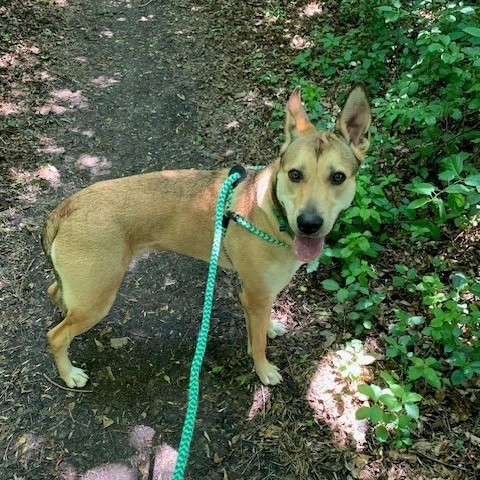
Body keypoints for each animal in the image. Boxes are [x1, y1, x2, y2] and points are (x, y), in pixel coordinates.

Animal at [41, 83, 372, 390]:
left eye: (338, 177)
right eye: (295, 174)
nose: (309, 224)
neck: (271, 210)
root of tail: (66, 208)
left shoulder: (262, 294)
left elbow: (263, 325)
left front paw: (271, 327)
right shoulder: (255, 296)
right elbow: (258, 344)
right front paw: (264, 370)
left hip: (84, 291)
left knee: (55, 292)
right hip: (98, 296)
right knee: (55, 336)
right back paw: (69, 374)